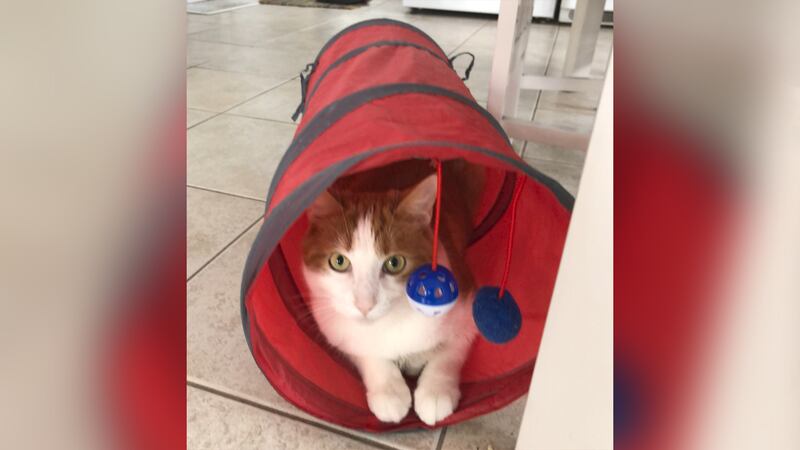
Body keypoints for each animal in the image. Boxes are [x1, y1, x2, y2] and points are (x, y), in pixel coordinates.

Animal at [301, 159, 483, 425]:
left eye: (394, 263)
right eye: (339, 261)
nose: (364, 305)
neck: (390, 322)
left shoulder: (467, 303)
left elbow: (452, 351)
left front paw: (436, 391)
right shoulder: (334, 328)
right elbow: (363, 349)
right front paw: (389, 391)